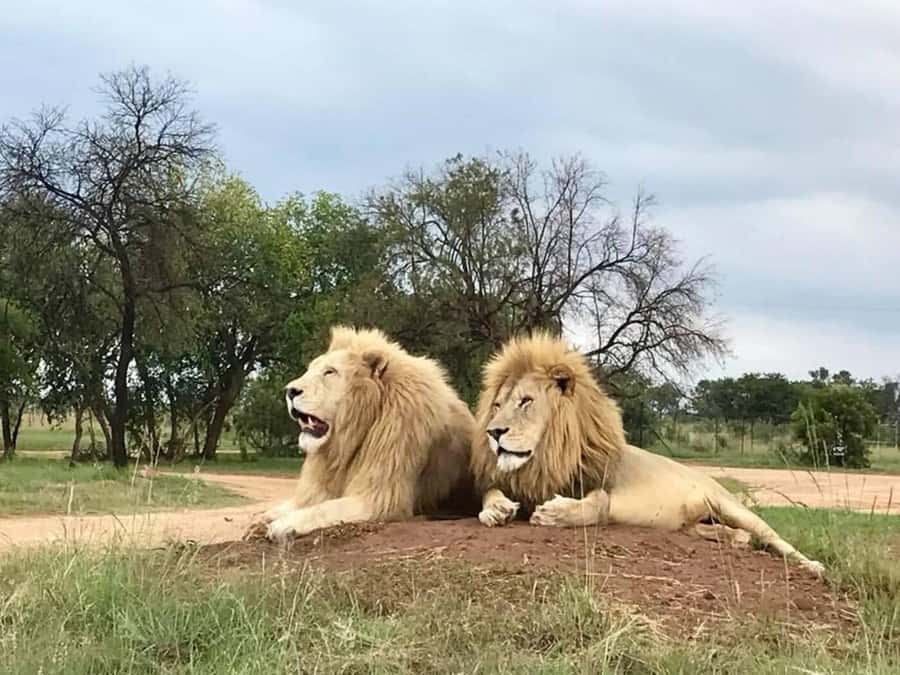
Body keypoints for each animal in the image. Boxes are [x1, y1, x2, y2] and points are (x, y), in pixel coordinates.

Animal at [245, 325, 476, 543]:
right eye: (310, 369)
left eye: (330, 372)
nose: (290, 391)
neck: (349, 439)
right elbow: (300, 503)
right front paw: (264, 517)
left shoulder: (381, 498)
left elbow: (324, 508)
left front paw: (282, 524)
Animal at [469, 333, 825, 576]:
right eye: (497, 405)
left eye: (526, 401)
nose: (493, 432)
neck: (545, 459)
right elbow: (490, 492)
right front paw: (496, 510)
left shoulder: (627, 497)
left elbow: (598, 505)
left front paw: (553, 513)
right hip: (694, 523)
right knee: (730, 534)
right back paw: (732, 539)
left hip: (732, 506)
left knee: (774, 537)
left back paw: (813, 566)